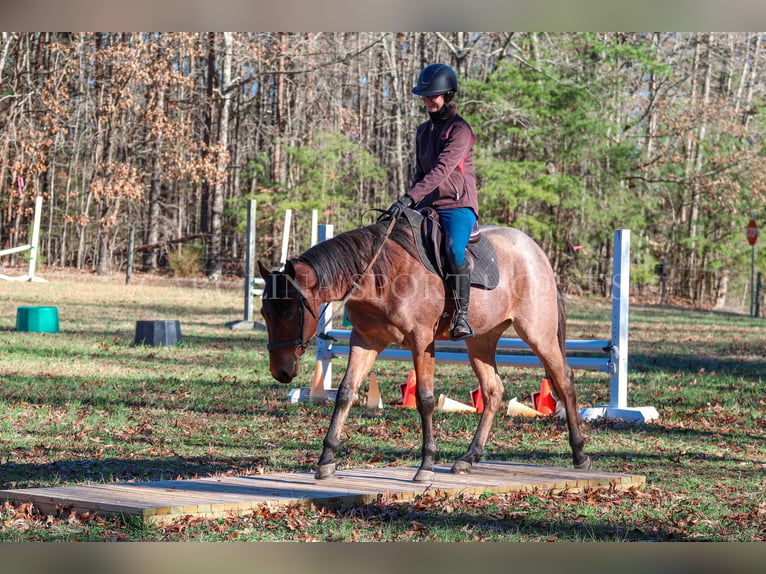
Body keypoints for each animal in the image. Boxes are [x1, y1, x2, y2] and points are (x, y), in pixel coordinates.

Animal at [258, 214, 592, 484]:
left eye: (289, 312)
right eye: (264, 312)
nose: (281, 371)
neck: (381, 275)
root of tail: (536, 251)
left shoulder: (421, 342)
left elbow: (425, 399)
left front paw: (426, 465)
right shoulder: (365, 341)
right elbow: (345, 393)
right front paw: (326, 460)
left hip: (538, 335)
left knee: (564, 379)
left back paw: (579, 454)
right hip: (480, 340)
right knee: (493, 389)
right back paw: (469, 457)